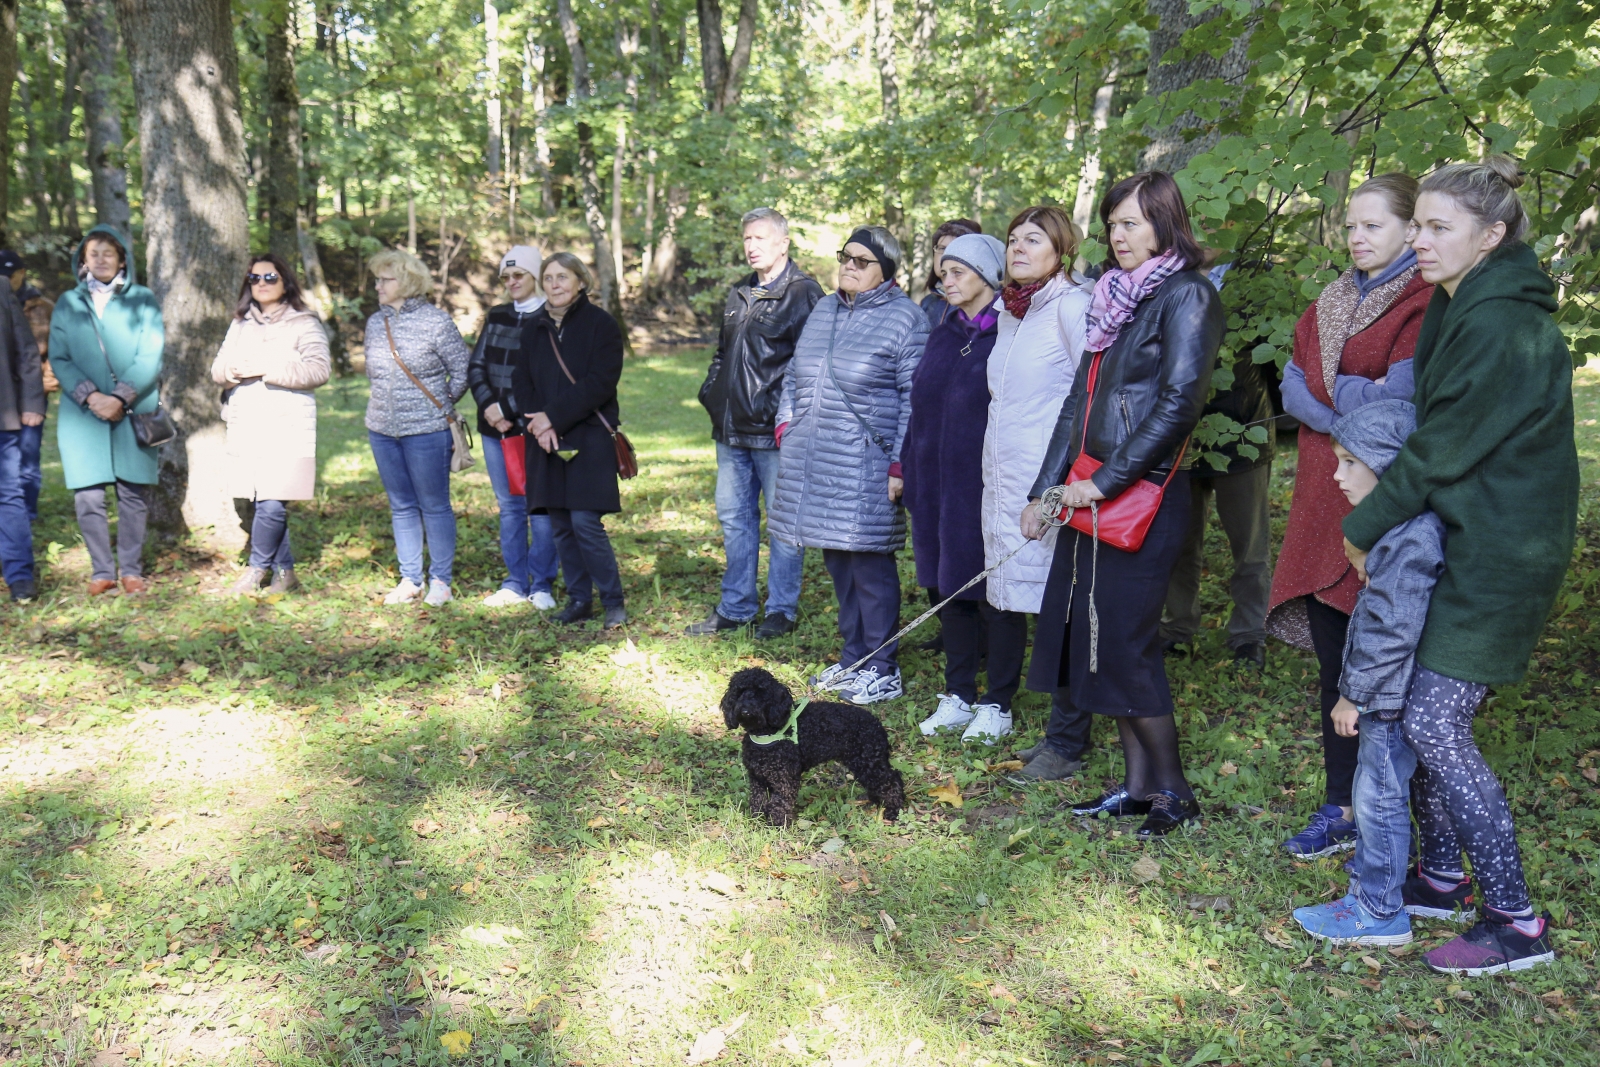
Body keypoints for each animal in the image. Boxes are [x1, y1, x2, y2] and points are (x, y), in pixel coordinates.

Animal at [723, 668, 908, 825]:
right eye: (739, 692)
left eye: (761, 693)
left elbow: (780, 803)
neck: (765, 734)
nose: (745, 711)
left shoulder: (784, 778)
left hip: (869, 764)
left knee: (892, 781)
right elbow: (757, 799)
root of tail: (878, 726)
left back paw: (893, 810)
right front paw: (756, 818)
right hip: (865, 765)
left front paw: (778, 824)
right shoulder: (758, 777)